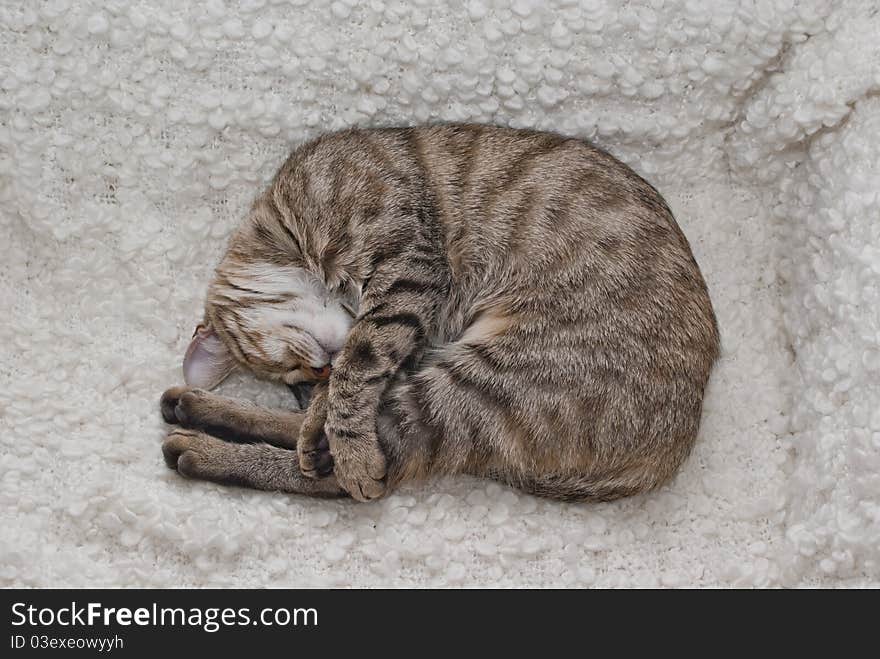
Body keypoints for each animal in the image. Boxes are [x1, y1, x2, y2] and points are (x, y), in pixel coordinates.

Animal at [162, 124, 720, 502]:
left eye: (292, 366)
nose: (317, 369)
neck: (287, 224)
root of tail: (672, 449)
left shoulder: (408, 271)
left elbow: (355, 371)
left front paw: (339, 434)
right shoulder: (409, 317)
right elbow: (352, 379)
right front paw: (323, 418)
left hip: (483, 383)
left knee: (355, 472)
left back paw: (211, 446)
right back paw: (201, 412)